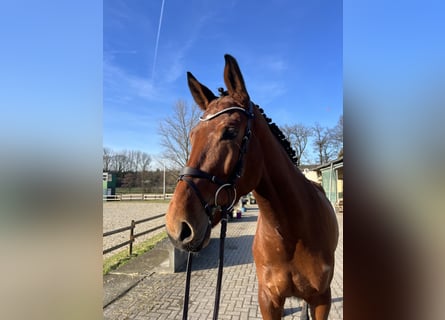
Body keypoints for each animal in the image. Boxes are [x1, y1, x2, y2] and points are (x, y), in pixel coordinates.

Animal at [165, 55, 338, 320]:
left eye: (230, 131)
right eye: (193, 136)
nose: (177, 227)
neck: (291, 233)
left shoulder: (322, 299)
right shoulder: (268, 299)